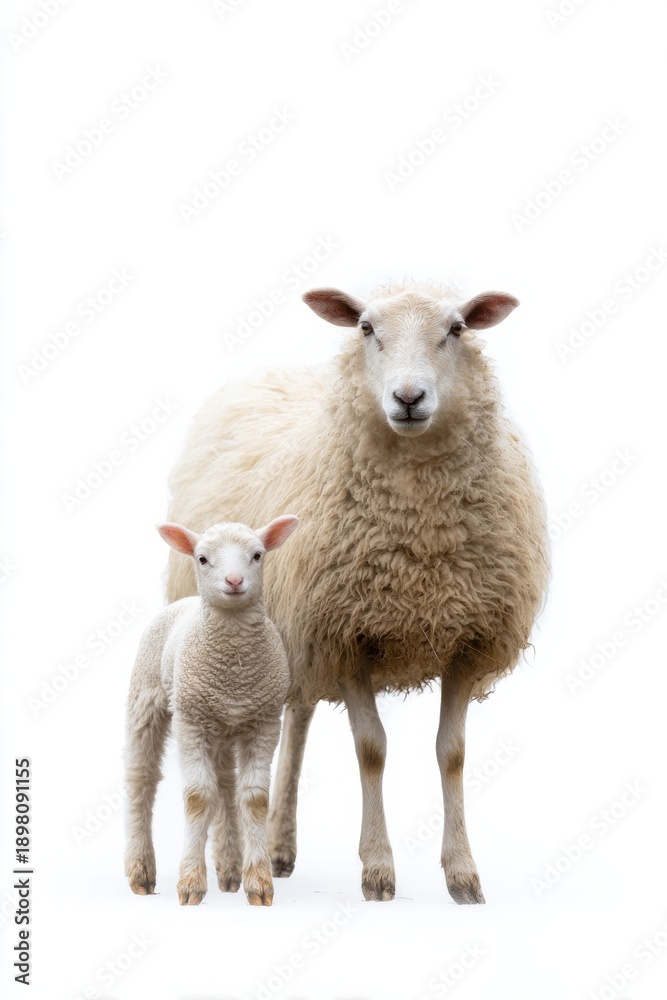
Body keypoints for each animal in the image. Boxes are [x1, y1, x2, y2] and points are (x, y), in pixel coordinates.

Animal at [123, 514, 299, 906]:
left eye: (257, 555)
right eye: (202, 559)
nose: (234, 581)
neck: (233, 666)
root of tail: (186, 600)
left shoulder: (264, 721)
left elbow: (254, 799)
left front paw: (259, 883)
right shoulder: (191, 721)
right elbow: (197, 798)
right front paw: (191, 883)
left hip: (223, 726)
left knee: (225, 784)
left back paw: (231, 869)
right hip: (147, 698)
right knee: (141, 778)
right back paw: (141, 872)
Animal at [165, 280, 550, 904]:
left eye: (457, 329)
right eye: (367, 328)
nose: (409, 397)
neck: (420, 540)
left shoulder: (467, 638)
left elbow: (453, 755)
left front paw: (463, 874)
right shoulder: (344, 634)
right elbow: (372, 750)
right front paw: (377, 870)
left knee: (295, 720)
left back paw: (279, 848)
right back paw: (240, 859)